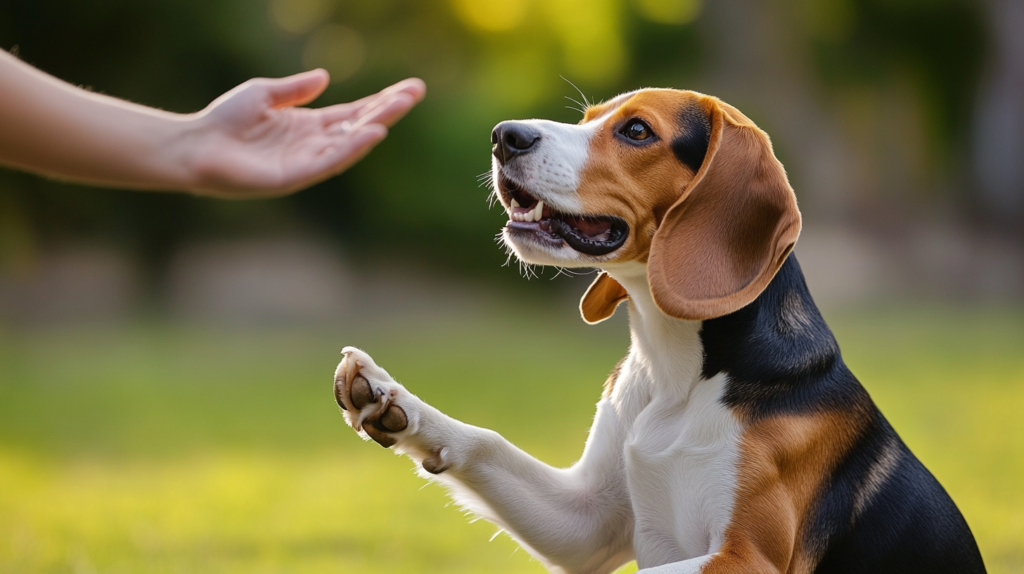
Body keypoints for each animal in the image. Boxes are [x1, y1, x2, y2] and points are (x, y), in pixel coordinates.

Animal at [331, 89, 987, 572]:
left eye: (637, 132)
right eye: (587, 119)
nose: (503, 136)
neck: (677, 372)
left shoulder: (746, 559)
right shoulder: (587, 521)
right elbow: (485, 441)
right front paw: (387, 396)